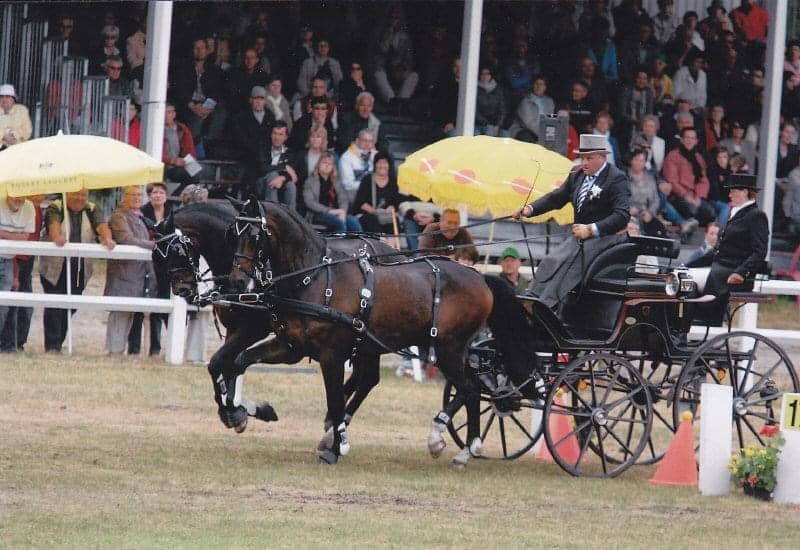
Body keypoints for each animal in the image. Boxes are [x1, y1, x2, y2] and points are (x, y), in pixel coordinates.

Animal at [228, 198, 496, 466]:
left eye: (254, 235)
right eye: (233, 232)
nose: (237, 281)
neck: (314, 278)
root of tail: (479, 278)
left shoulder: (331, 355)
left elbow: (335, 400)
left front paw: (336, 449)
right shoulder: (291, 347)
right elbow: (241, 360)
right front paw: (237, 410)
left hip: (446, 349)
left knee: (470, 390)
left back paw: (447, 440)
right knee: (469, 389)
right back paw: (463, 447)